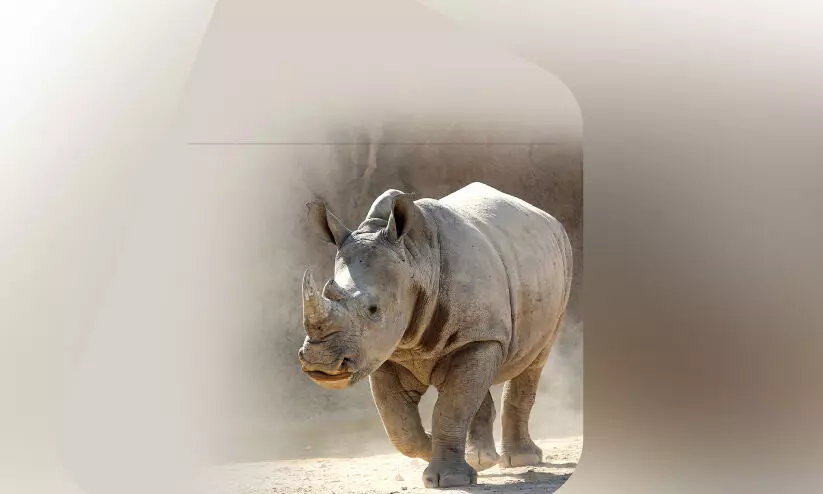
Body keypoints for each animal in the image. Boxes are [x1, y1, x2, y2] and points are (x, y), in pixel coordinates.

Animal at [297, 182, 573, 488]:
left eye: (373, 309)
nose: (320, 363)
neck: (415, 259)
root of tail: (546, 217)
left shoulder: (480, 337)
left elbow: (450, 408)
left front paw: (449, 479)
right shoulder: (385, 349)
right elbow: (398, 423)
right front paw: (432, 450)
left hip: (559, 266)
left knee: (534, 361)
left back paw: (520, 460)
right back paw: (482, 460)